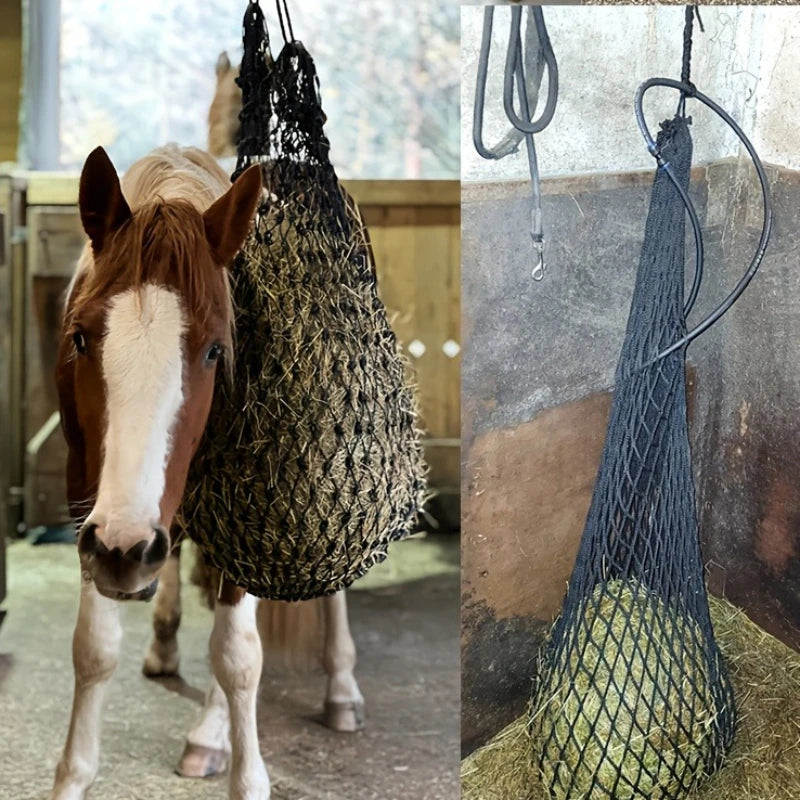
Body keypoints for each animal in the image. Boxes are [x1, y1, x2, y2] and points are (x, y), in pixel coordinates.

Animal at [50, 144, 360, 800]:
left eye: (216, 350)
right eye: (81, 338)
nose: (123, 550)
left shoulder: (253, 515)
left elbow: (238, 656)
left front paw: (246, 774)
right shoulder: (87, 496)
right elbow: (94, 649)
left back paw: (338, 690)